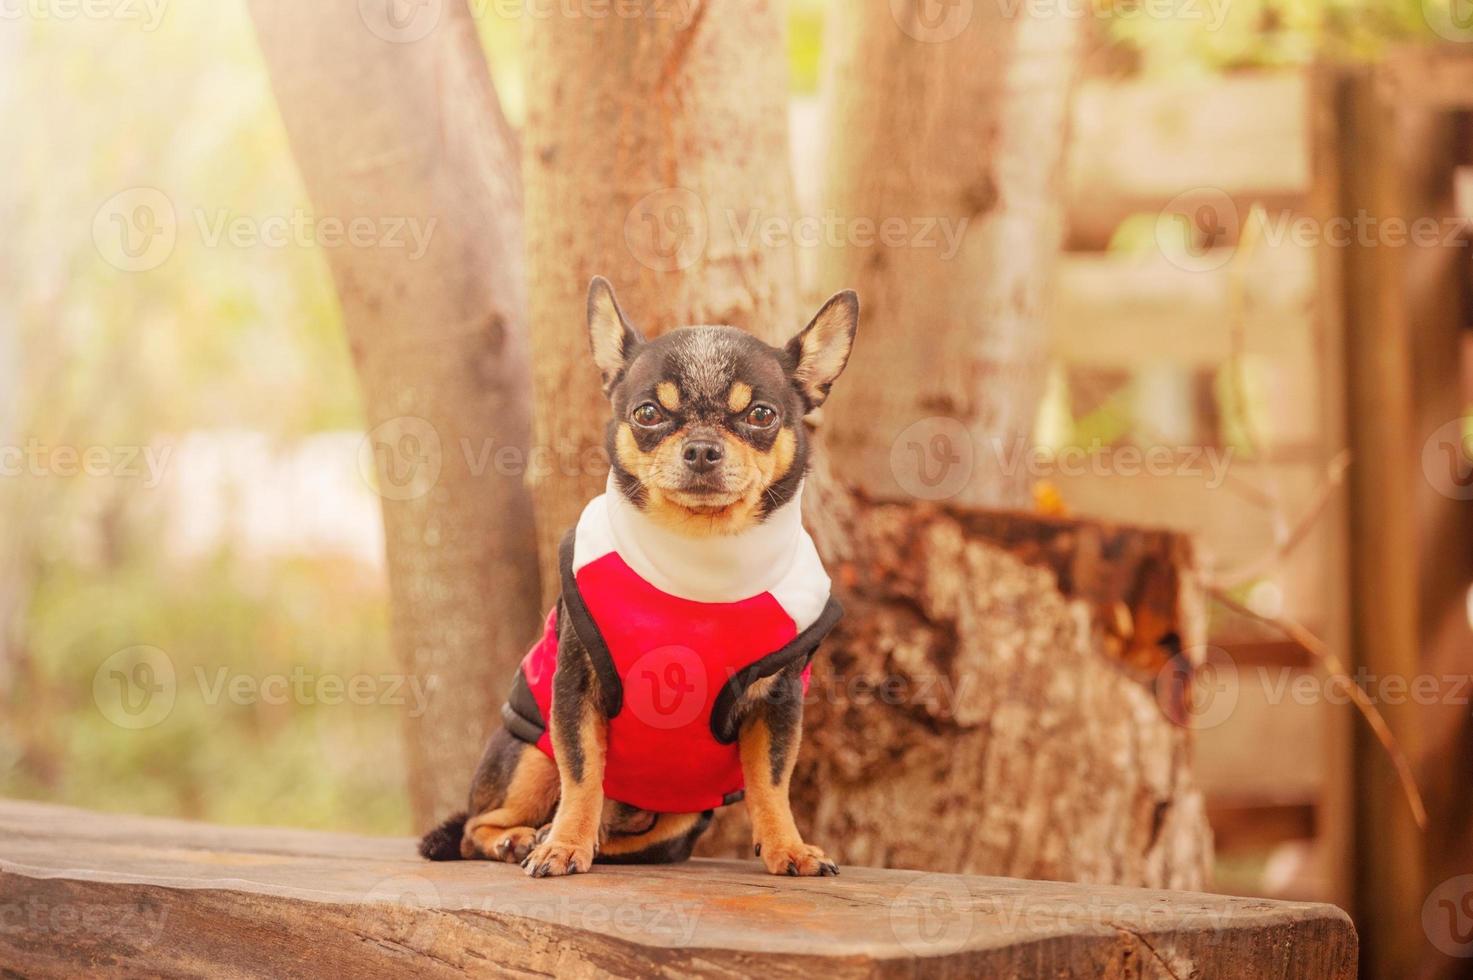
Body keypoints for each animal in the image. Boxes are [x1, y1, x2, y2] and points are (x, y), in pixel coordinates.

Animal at [421, 277, 860, 878]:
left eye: (761, 415)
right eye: (649, 413)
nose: (701, 448)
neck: (699, 556)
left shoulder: (778, 701)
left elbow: (772, 784)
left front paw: (788, 848)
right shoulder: (575, 689)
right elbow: (583, 773)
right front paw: (564, 844)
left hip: (684, 815)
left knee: (635, 843)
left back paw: (579, 839)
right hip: (529, 756)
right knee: (475, 827)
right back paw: (523, 838)